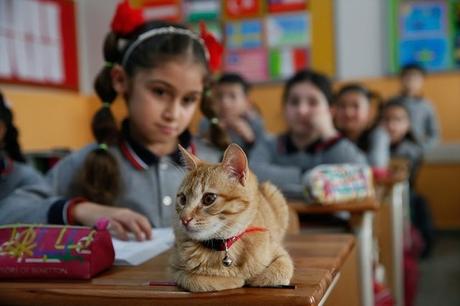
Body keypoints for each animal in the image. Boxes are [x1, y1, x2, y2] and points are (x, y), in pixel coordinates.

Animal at [170, 143, 294, 292]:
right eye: (182, 199)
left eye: (209, 199)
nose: (184, 219)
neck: (224, 245)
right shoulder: (176, 269)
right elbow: (197, 280)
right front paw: (234, 279)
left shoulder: (281, 254)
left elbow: (277, 272)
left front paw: (254, 277)